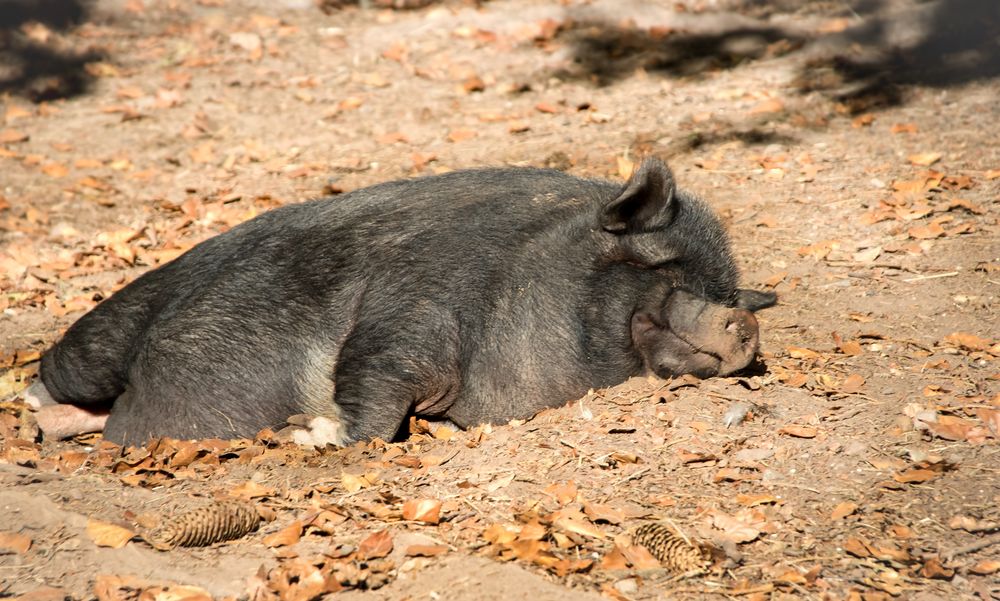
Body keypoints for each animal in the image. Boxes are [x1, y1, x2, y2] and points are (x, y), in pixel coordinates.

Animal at [21, 157, 772, 448]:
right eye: (668, 268)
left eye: (725, 291)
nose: (742, 319)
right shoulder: (416, 303)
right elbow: (377, 386)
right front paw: (311, 432)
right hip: (102, 334)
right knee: (61, 370)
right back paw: (35, 404)